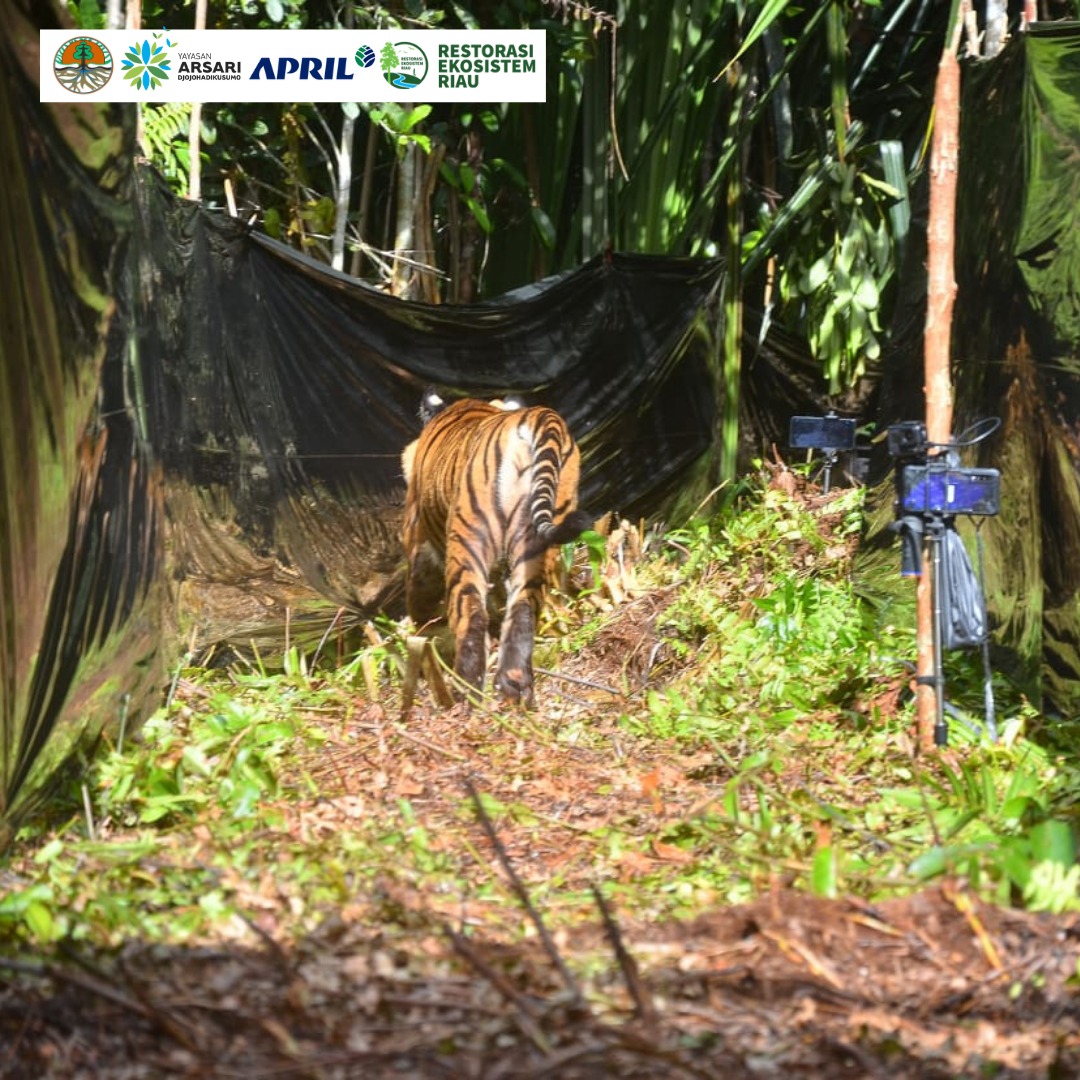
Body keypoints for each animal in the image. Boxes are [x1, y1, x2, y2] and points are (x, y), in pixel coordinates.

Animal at [403, 393, 591, 704]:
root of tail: (542, 418)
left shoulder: (418, 543)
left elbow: (422, 604)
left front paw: (427, 641)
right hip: (537, 543)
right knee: (524, 608)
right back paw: (514, 687)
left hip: (468, 541)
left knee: (472, 615)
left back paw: (464, 693)